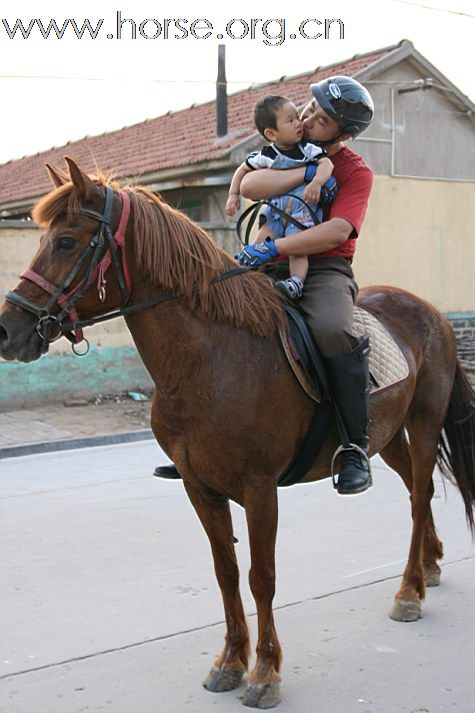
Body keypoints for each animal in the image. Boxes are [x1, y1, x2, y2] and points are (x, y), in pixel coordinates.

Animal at [0, 159, 474, 708]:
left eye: (66, 242)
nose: (8, 330)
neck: (212, 358)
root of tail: (432, 312)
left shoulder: (260, 488)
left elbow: (261, 577)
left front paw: (265, 672)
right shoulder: (199, 486)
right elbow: (226, 573)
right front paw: (230, 661)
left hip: (423, 423)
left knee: (419, 498)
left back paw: (409, 591)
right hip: (386, 436)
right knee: (417, 491)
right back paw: (431, 565)